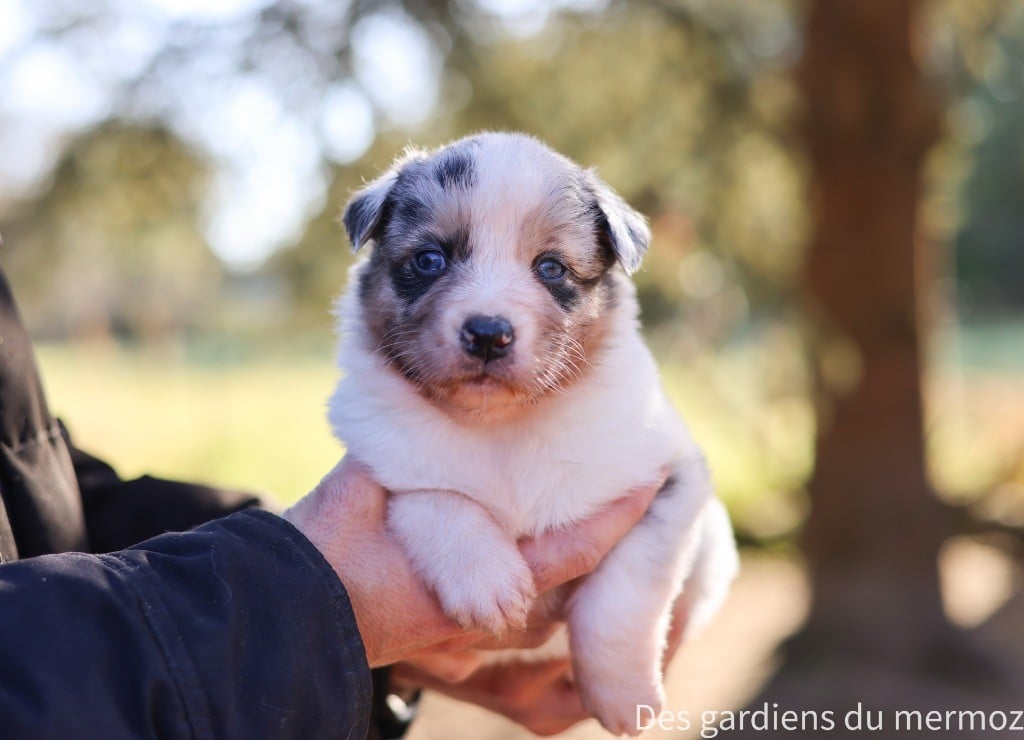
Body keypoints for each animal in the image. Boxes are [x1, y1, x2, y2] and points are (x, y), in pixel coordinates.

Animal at [331, 133, 741, 736]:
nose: (487, 333)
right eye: (430, 259)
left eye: (551, 268)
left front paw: (624, 696)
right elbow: (438, 496)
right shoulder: (381, 457)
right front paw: (488, 583)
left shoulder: (669, 481)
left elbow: (621, 597)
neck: (504, 426)